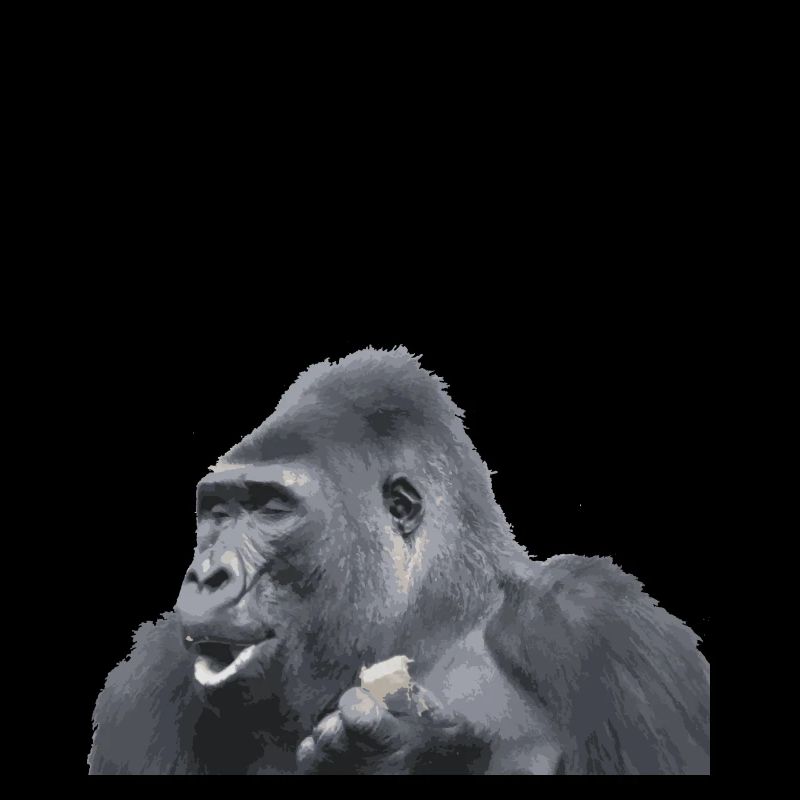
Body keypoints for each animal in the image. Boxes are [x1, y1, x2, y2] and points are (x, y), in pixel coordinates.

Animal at [88, 347, 710, 774]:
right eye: (216, 512)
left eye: (271, 509)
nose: (206, 575)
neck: (433, 623)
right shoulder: (149, 680)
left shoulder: (599, 625)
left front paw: (416, 751)